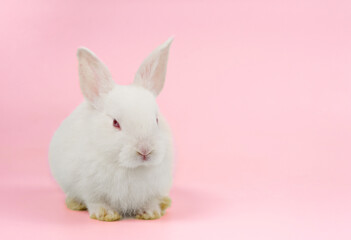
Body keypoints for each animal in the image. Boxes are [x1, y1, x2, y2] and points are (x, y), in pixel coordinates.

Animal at [48, 38, 175, 221]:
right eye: (115, 123)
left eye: (156, 120)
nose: (145, 150)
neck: (131, 168)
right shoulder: (89, 188)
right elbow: (95, 201)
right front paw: (106, 214)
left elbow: (149, 201)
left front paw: (151, 213)